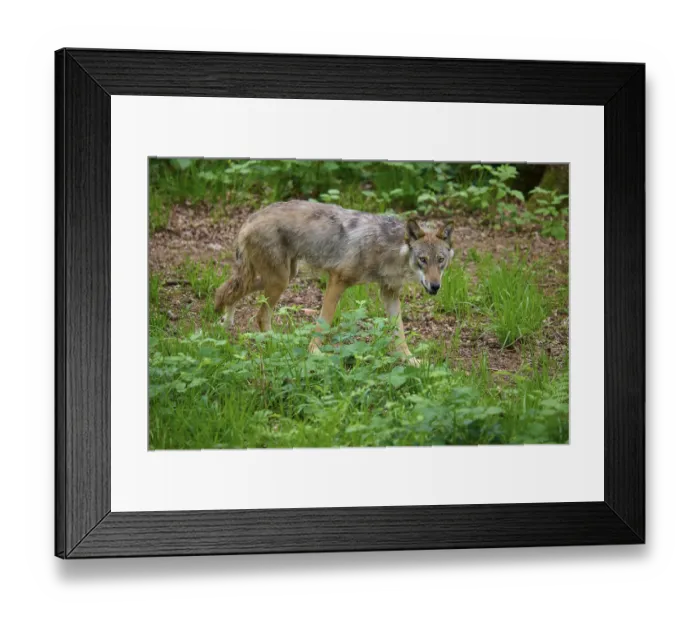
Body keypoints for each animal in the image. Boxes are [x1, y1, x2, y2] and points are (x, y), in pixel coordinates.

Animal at [214, 200, 454, 365]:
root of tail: (251, 217)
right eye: (423, 260)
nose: (435, 286)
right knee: (259, 315)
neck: (388, 249)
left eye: (440, 260)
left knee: (227, 290)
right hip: (279, 281)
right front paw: (315, 354)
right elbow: (323, 324)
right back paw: (275, 343)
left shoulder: (389, 294)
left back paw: (225, 321)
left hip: (284, 277)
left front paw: (411, 361)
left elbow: (400, 334)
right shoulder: (337, 281)